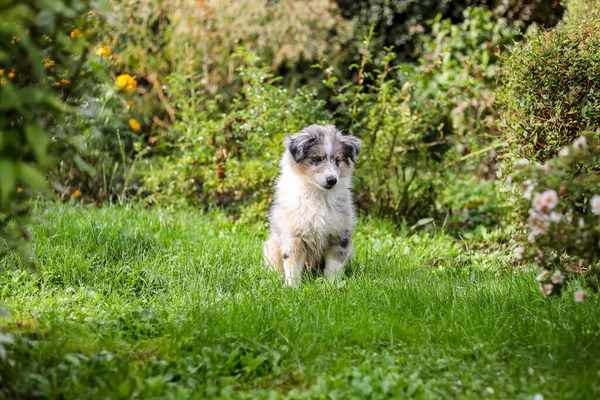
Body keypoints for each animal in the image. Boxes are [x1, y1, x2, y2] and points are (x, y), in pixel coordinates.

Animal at [262, 123, 360, 286]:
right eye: (316, 159)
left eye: (338, 160)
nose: (332, 180)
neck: (318, 195)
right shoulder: (293, 236)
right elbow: (292, 266)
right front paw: (291, 287)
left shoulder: (338, 236)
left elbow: (333, 266)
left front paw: (331, 285)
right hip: (271, 247)